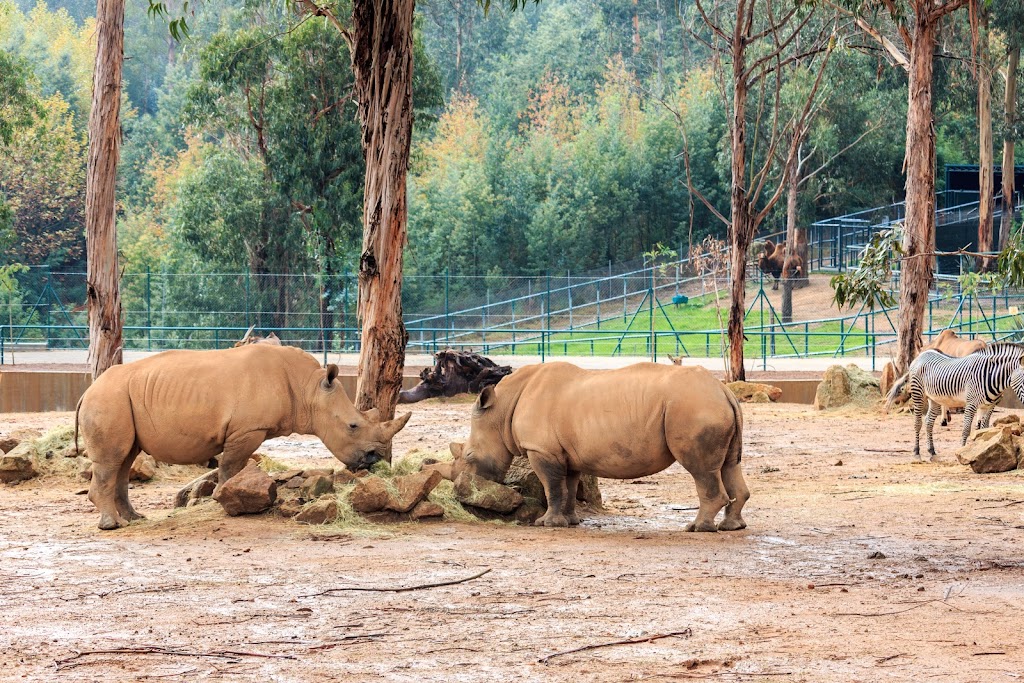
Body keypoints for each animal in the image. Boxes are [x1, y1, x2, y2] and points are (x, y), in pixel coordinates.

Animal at [880, 344, 1024, 462]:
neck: (990, 375)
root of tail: (921, 355)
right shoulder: (971, 403)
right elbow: (966, 429)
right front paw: (962, 452)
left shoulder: (987, 406)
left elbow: (983, 430)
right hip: (918, 394)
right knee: (917, 423)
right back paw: (916, 453)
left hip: (934, 399)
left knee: (929, 422)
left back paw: (932, 452)